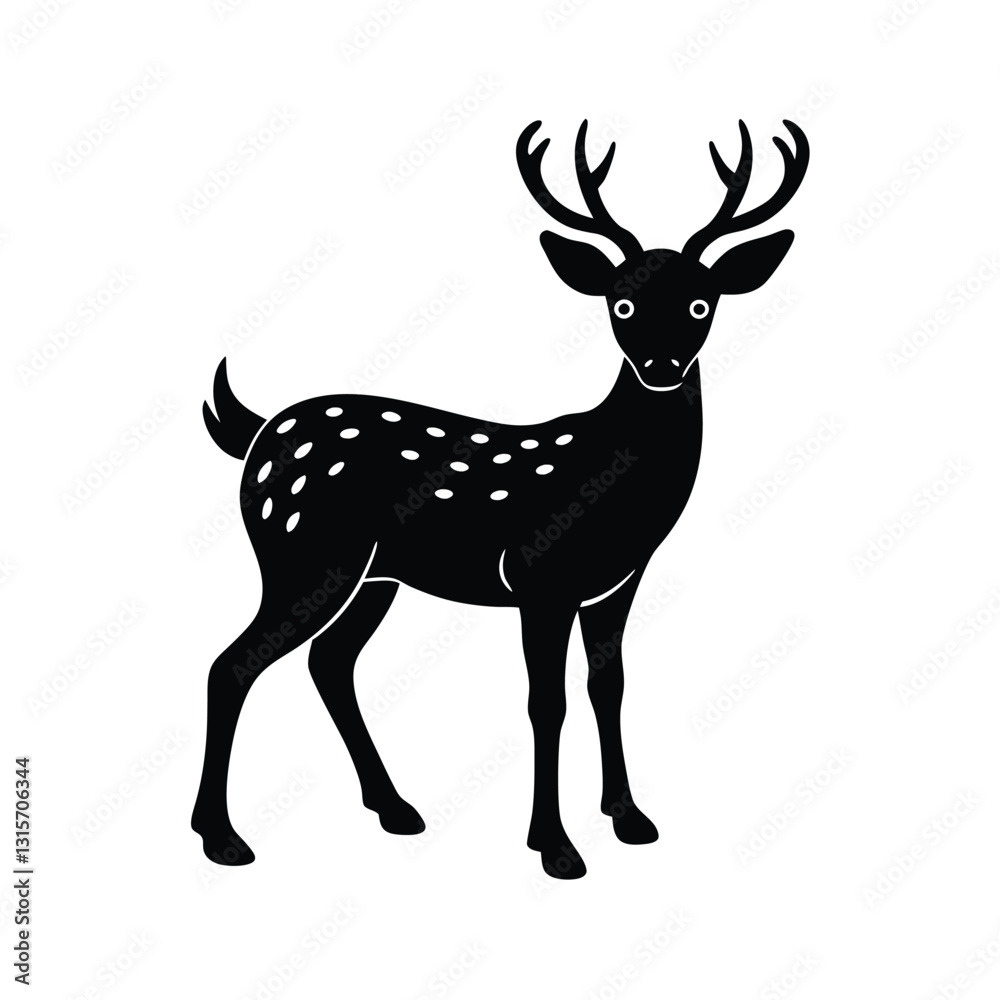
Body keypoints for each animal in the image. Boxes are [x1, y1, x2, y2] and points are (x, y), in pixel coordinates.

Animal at [192, 117, 809, 879]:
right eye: (621, 301)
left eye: (702, 302)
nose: (661, 366)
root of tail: (255, 431)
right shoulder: (540, 578)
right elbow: (547, 703)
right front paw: (556, 846)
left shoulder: (617, 582)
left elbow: (609, 687)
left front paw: (630, 819)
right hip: (302, 554)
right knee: (232, 664)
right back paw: (222, 838)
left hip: (374, 576)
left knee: (328, 662)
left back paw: (395, 808)